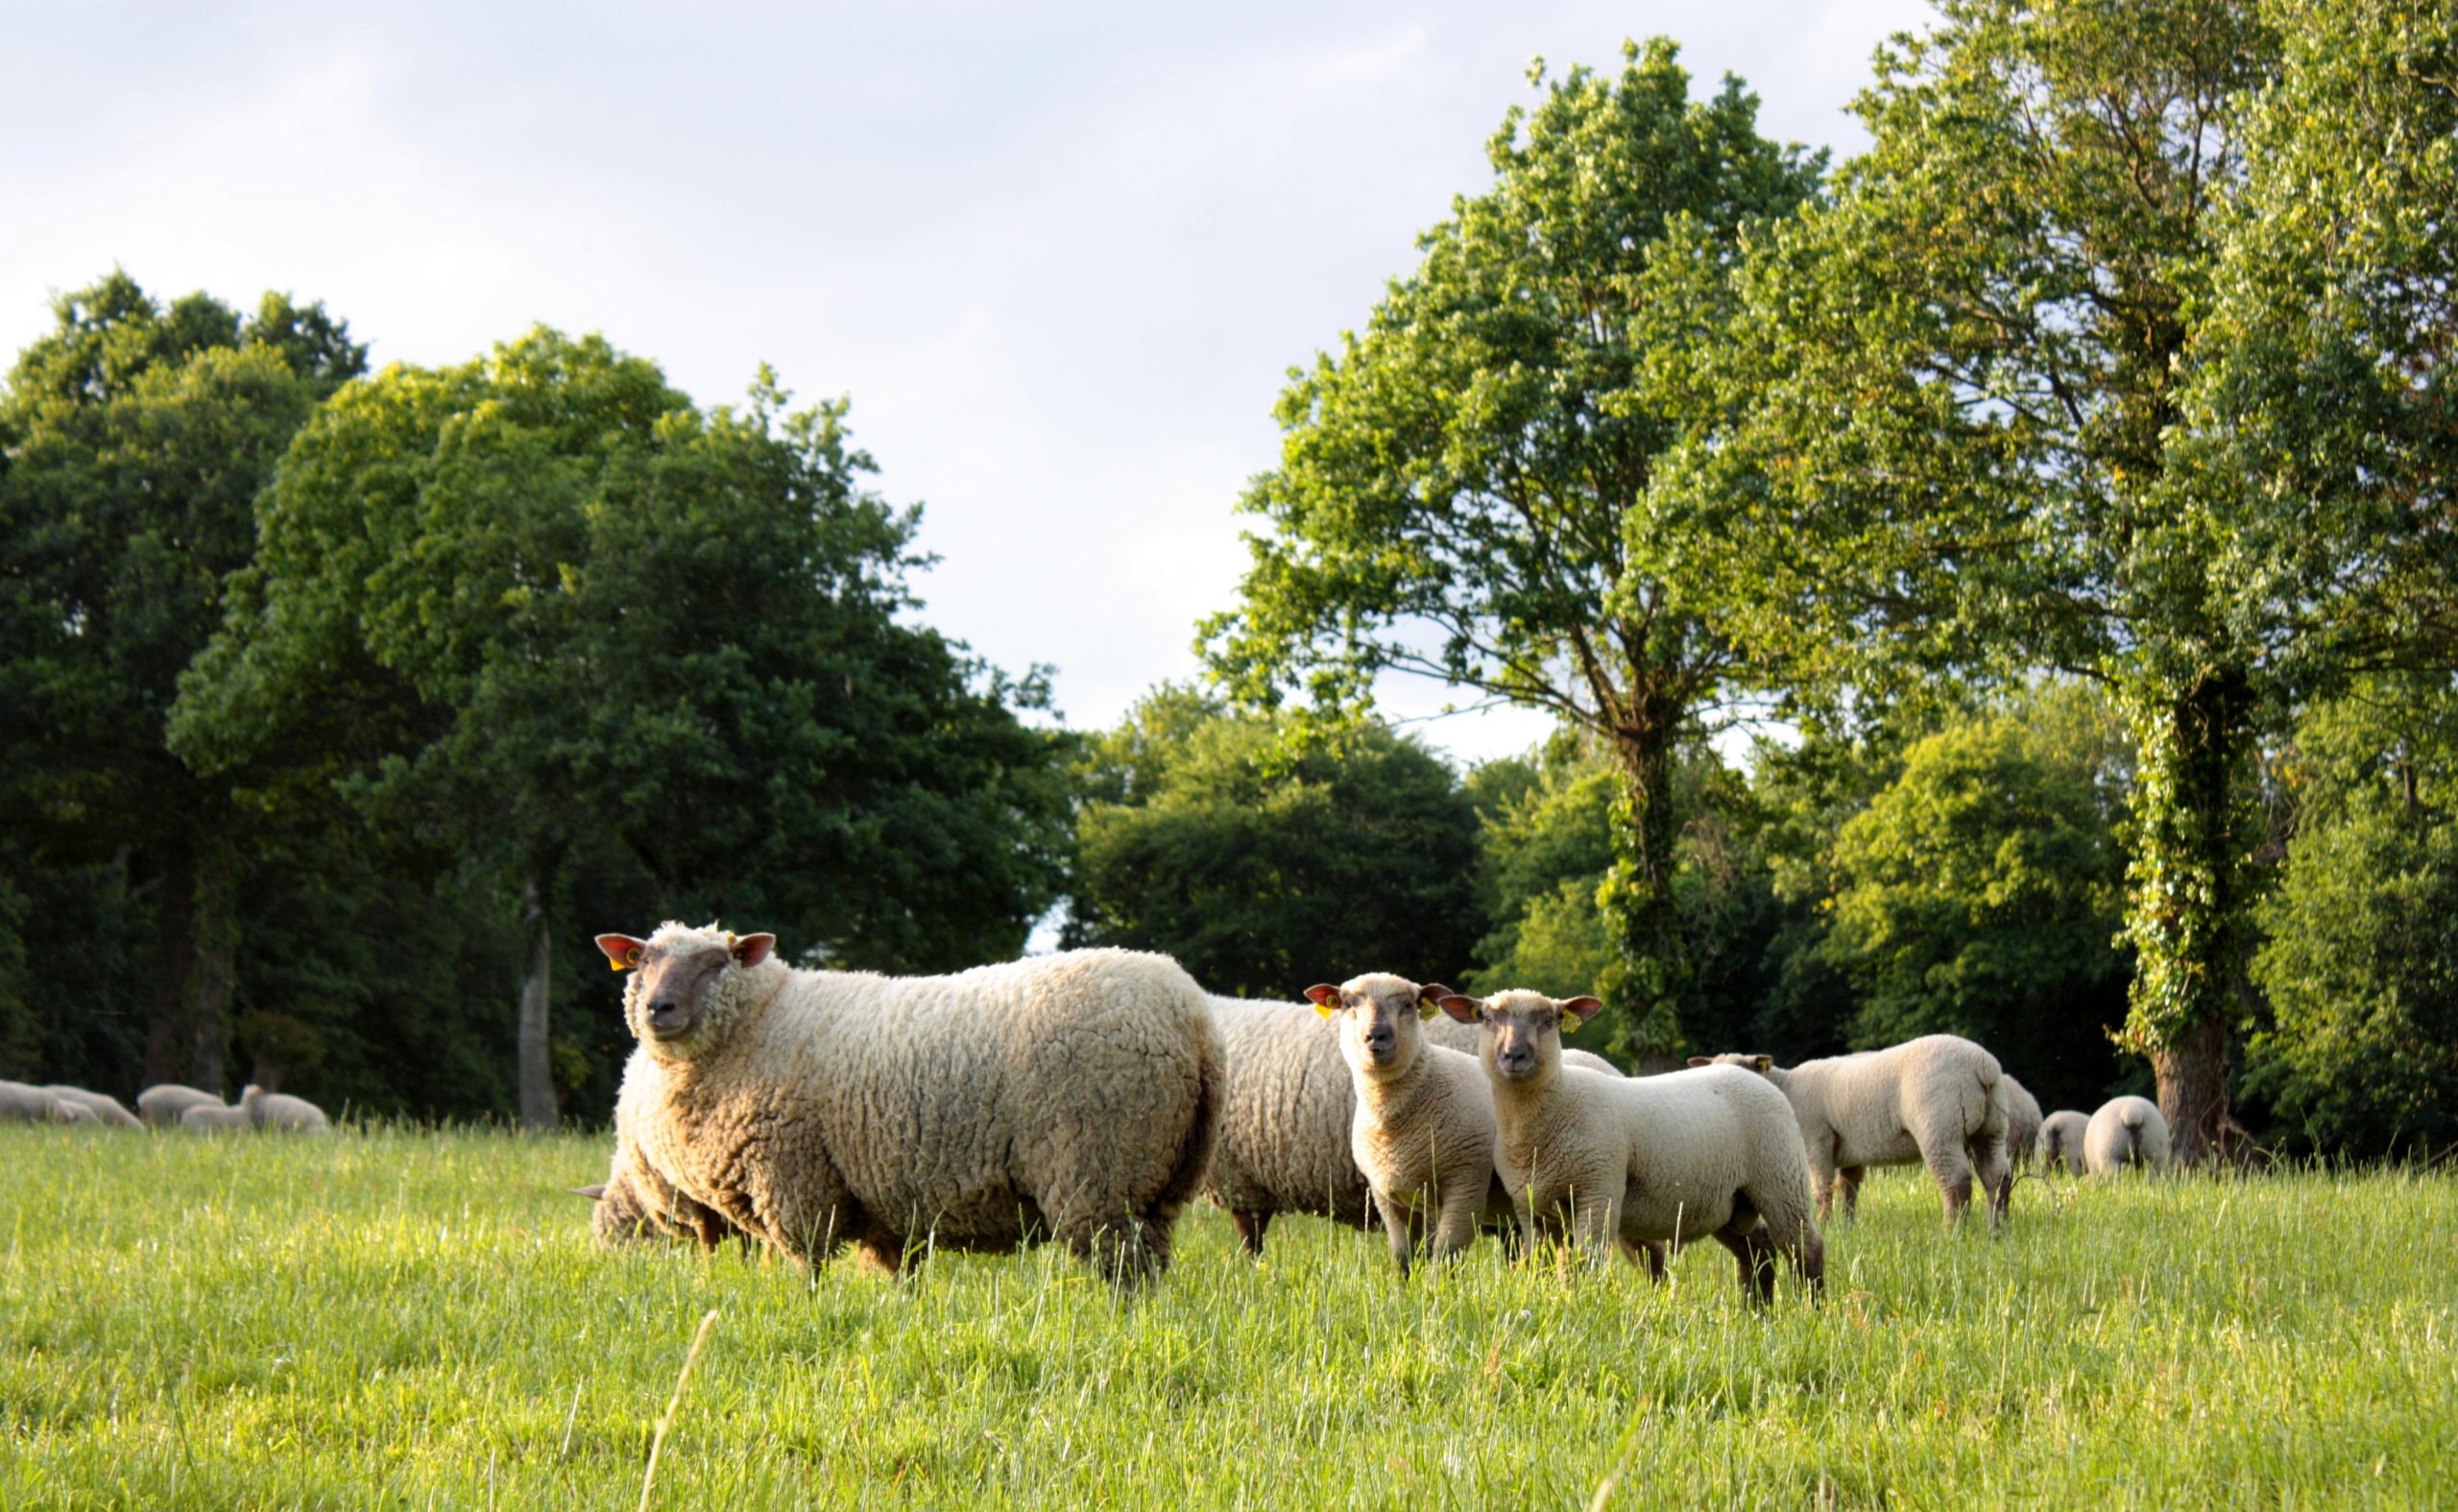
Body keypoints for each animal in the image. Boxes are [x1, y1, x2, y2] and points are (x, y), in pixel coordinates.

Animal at [587, 924, 1218, 1287]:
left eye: (717, 962)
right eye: (641, 962)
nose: (659, 1008)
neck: (758, 1021)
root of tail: (1189, 1013)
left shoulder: (793, 1181)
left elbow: (808, 1266)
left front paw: (808, 1311)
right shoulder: (877, 1200)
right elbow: (896, 1275)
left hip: (1094, 1164)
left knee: (1122, 1269)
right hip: (1161, 1178)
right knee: (1152, 1264)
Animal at [1307, 983, 1513, 1278]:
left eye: (1408, 1005)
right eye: (1347, 1004)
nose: (1376, 1035)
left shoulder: (1466, 1184)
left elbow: (1446, 1254)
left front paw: (1439, 1288)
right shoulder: (1388, 1195)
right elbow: (1404, 1257)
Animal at [1435, 993, 1828, 1298]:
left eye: (1549, 1020)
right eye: (1487, 1019)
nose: (1513, 1056)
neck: (1558, 1104)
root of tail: (1756, 1079)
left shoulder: (1598, 1190)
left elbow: (1586, 1263)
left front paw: (1581, 1310)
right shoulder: (1532, 1207)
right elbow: (1541, 1267)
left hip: (1780, 1176)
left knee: (1805, 1248)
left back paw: (1809, 1312)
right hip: (1728, 1202)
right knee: (1757, 1250)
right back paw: (1756, 1311)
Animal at [1691, 1037, 2015, 1234]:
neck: (1785, 1088)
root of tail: (1982, 1066)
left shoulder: (1816, 1139)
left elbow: (1822, 1189)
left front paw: (1825, 1224)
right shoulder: (1848, 1152)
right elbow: (1848, 1189)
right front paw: (1846, 1227)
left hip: (1939, 1127)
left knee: (1956, 1182)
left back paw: (1952, 1231)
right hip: (1992, 1129)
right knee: (1998, 1178)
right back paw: (1998, 1230)